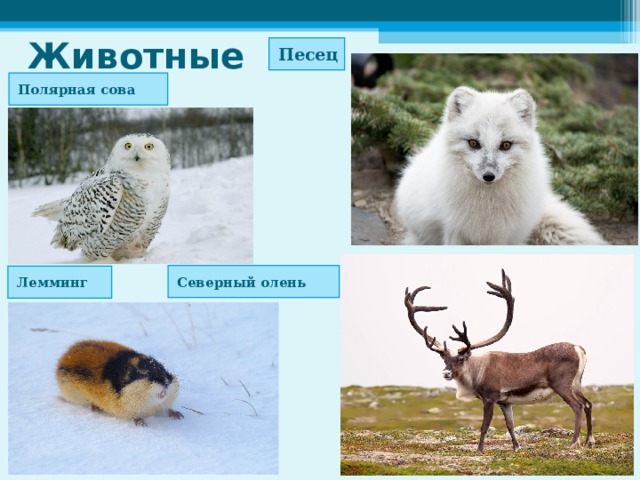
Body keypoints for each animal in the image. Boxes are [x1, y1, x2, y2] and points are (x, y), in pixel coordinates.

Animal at [404, 269, 595, 452]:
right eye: (444, 358)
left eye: (461, 358)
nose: (446, 373)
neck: (477, 372)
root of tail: (579, 348)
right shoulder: (505, 402)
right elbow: (510, 425)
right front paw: (516, 447)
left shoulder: (490, 397)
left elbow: (484, 426)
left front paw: (480, 449)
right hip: (576, 384)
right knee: (588, 404)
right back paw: (588, 441)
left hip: (561, 384)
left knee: (578, 406)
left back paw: (574, 442)